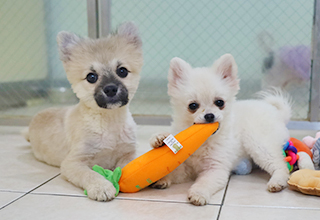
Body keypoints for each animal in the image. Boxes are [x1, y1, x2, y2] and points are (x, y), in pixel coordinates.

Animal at [150, 54, 290, 205]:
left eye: (219, 102)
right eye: (193, 106)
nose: (209, 115)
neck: (202, 140)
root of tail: (277, 112)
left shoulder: (215, 169)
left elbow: (204, 183)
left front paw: (198, 194)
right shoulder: (185, 167)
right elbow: (173, 171)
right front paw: (160, 141)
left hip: (258, 143)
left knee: (280, 164)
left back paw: (277, 181)